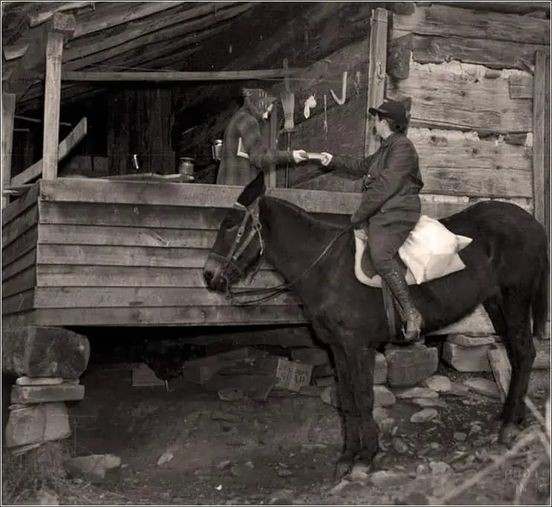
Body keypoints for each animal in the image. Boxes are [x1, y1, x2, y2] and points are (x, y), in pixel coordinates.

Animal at [203, 173, 548, 478]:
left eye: (230, 224)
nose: (209, 276)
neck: (327, 268)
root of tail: (530, 222)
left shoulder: (358, 346)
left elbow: (364, 397)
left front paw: (366, 457)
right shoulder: (338, 348)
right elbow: (347, 399)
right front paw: (347, 456)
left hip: (515, 299)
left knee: (525, 353)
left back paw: (509, 426)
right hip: (496, 303)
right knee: (516, 355)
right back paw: (511, 416)